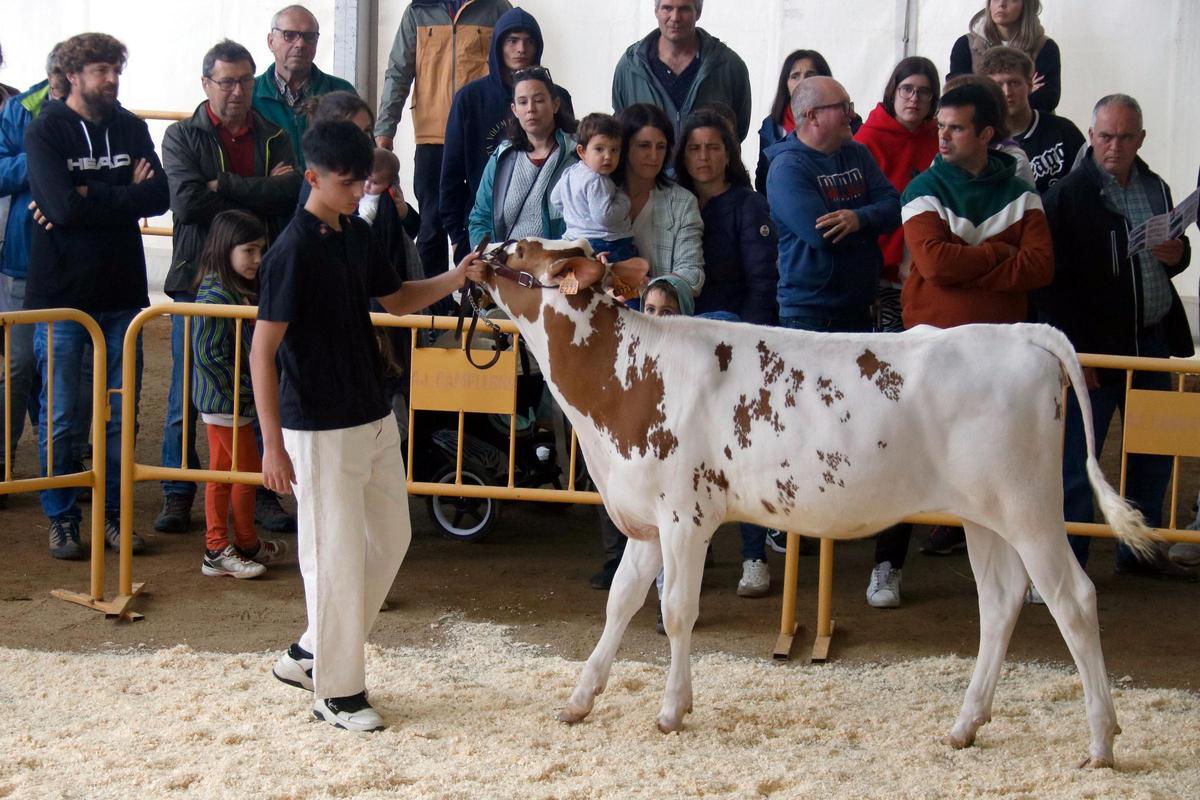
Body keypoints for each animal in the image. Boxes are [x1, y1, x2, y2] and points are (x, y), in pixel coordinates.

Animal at [469, 237, 1155, 768]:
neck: (625, 379)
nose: (475, 254)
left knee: (1073, 599)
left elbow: (676, 611)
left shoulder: (685, 515)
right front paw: (580, 700)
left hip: (1030, 506)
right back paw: (966, 725)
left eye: (522, 248)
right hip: (983, 513)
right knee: (1001, 600)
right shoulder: (645, 519)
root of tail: (1020, 333)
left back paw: (1101, 742)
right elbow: (619, 604)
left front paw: (670, 711)